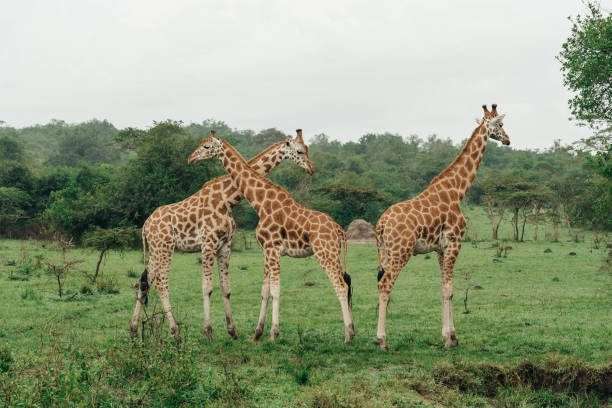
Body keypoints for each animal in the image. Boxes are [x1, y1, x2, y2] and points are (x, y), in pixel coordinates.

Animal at [128, 131, 310, 342]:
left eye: (306, 149)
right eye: (300, 151)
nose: (311, 168)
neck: (228, 199)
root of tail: (146, 225)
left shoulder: (225, 245)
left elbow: (225, 288)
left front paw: (232, 331)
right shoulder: (208, 243)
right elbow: (207, 287)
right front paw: (208, 331)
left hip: (155, 250)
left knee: (144, 281)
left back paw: (133, 329)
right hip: (165, 247)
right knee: (161, 284)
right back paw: (175, 332)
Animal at [189, 131, 356, 342]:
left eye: (207, 147)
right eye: (301, 151)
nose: (191, 158)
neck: (260, 203)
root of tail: (339, 230)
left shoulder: (273, 248)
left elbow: (275, 290)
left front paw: (274, 333)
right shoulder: (266, 250)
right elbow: (265, 291)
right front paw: (257, 334)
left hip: (325, 253)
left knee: (341, 286)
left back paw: (348, 336)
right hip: (334, 254)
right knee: (347, 284)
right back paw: (352, 332)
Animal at [376, 103, 510, 350]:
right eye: (500, 124)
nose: (507, 139)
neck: (457, 191)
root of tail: (380, 225)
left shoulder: (440, 249)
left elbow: (443, 288)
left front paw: (450, 336)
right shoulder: (454, 243)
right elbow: (449, 289)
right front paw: (450, 339)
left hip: (385, 253)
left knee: (379, 284)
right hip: (401, 252)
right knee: (385, 286)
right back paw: (382, 340)